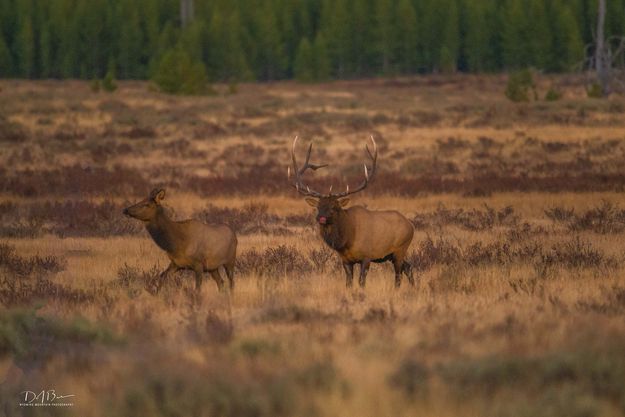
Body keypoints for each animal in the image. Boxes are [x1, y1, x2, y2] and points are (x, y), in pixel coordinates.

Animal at [288, 136, 414, 286]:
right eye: (318, 207)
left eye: (334, 207)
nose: (321, 218)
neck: (346, 241)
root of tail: (411, 225)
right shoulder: (346, 260)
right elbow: (348, 283)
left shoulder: (367, 256)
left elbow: (361, 281)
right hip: (392, 255)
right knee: (409, 267)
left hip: (400, 249)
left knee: (399, 274)